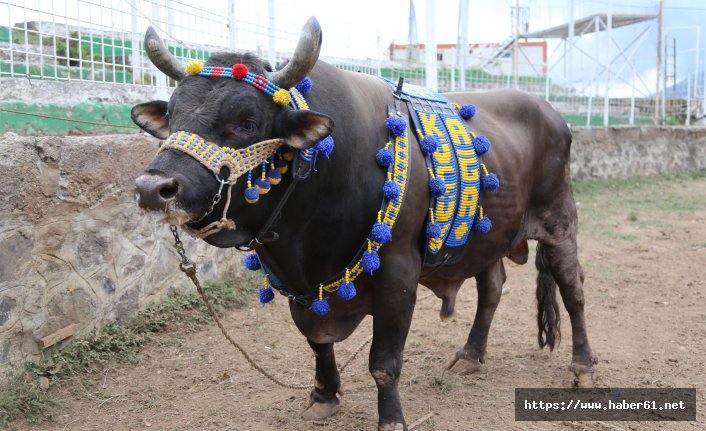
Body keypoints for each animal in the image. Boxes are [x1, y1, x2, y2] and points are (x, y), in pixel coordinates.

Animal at [132, 16, 592, 431]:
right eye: (173, 115)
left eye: (246, 122)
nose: (153, 188)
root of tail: (552, 113)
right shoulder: (302, 289)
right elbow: (317, 343)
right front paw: (323, 396)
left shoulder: (398, 277)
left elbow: (384, 362)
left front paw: (391, 420)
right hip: (487, 239)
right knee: (493, 288)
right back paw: (470, 355)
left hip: (560, 223)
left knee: (572, 292)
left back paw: (583, 366)